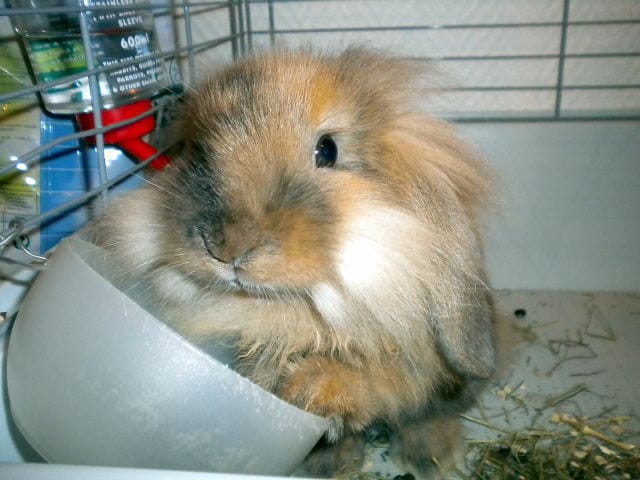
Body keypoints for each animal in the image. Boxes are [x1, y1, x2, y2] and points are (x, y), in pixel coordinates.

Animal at [87, 48, 500, 478]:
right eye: (198, 152)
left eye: (327, 150)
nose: (226, 247)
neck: (281, 310)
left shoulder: (403, 363)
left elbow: (372, 381)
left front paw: (311, 391)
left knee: (430, 412)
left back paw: (431, 457)